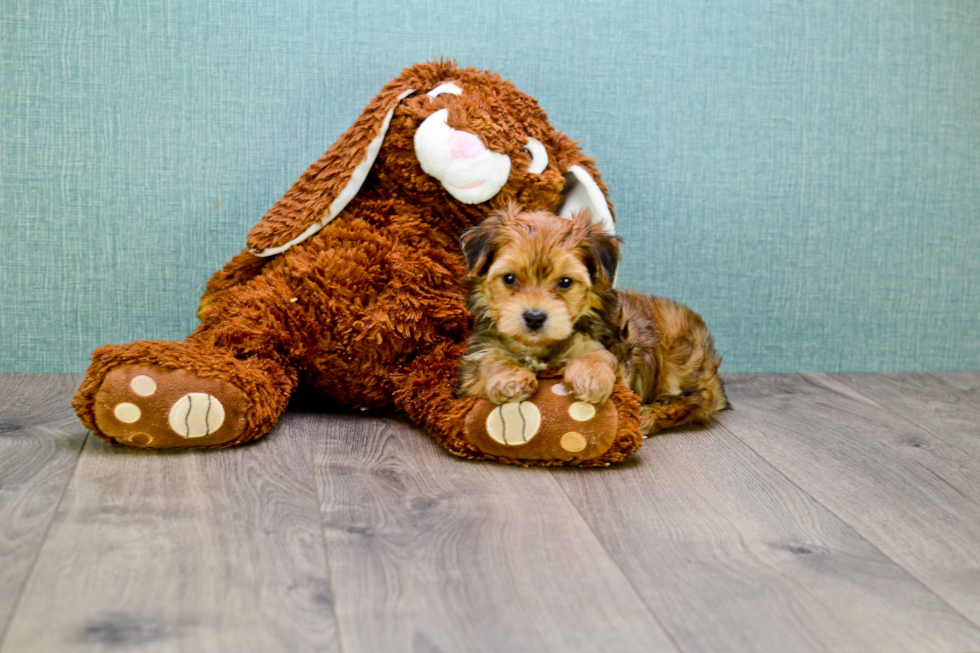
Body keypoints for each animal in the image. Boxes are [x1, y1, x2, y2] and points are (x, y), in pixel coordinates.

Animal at [456, 206, 724, 436]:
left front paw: (590, 377)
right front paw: (510, 378)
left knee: (696, 401)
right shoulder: (478, 356)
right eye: (509, 278)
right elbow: (489, 359)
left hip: (680, 356)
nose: (534, 317)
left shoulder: (604, 347)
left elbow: (599, 356)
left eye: (565, 282)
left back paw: (649, 416)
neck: (539, 347)